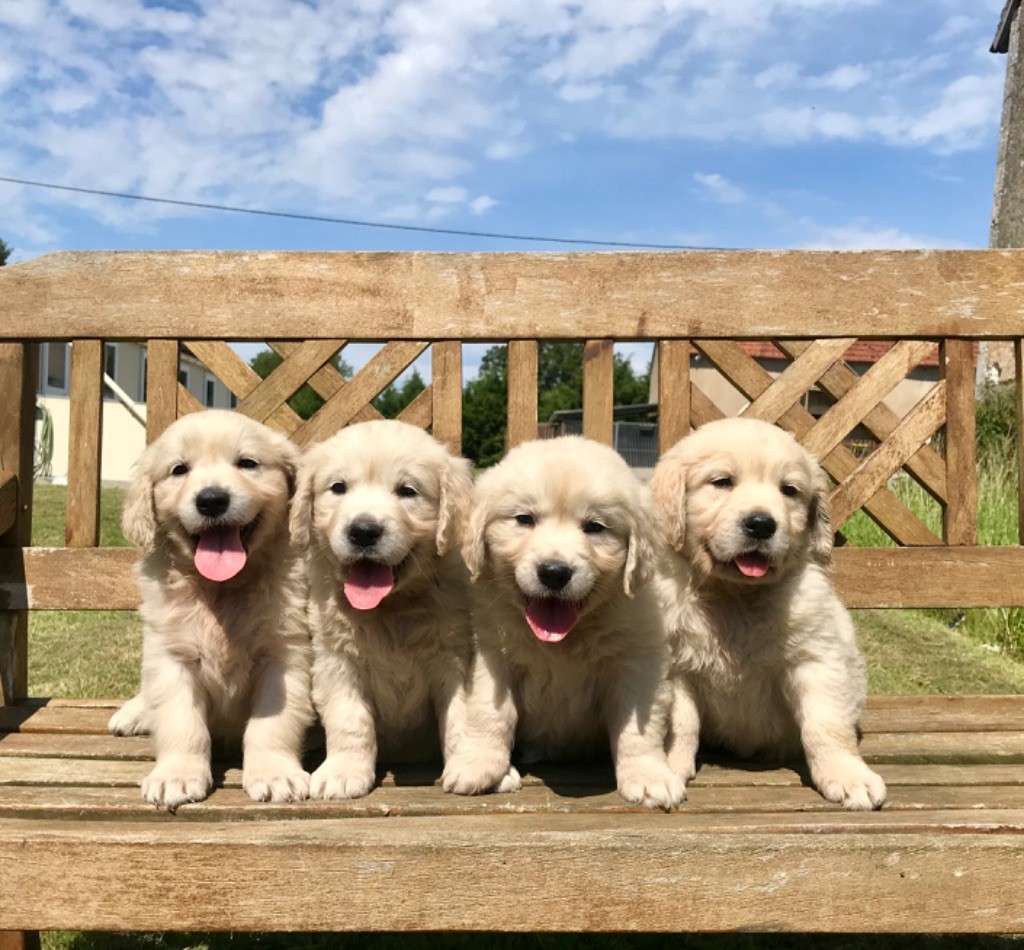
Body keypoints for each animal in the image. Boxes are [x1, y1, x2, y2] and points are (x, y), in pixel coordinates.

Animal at [107, 409, 311, 810]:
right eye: (179, 469)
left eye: (247, 463)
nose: (212, 500)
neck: (223, 589)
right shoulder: (171, 658)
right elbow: (182, 723)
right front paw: (176, 776)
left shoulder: (285, 655)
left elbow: (272, 724)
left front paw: (275, 774)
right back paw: (134, 712)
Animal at [292, 419, 475, 798]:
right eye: (338, 487)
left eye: (407, 491)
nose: (363, 531)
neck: (392, 609)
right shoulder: (336, 661)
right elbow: (350, 720)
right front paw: (343, 772)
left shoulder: (454, 656)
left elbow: (462, 715)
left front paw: (471, 766)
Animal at [442, 438, 688, 810]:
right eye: (524, 519)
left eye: (595, 527)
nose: (555, 572)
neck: (565, 639)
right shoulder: (493, 656)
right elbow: (490, 712)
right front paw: (476, 764)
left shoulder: (637, 661)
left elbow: (638, 728)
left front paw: (649, 776)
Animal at [651, 419, 884, 810]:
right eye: (722, 482)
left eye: (789, 490)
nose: (761, 524)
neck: (736, 598)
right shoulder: (677, 666)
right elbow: (681, 726)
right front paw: (670, 767)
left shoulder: (815, 659)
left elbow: (826, 724)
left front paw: (847, 775)